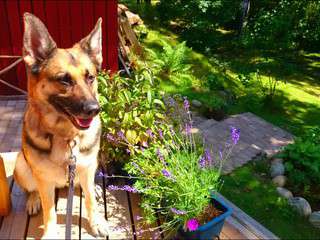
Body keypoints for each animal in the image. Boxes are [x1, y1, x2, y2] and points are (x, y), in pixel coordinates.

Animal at [13, 13, 109, 238]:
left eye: (90, 77)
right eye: (64, 80)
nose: (94, 109)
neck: (66, 137)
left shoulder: (86, 167)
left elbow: (90, 201)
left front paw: (96, 222)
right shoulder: (44, 181)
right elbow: (50, 212)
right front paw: (49, 233)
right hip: (21, 166)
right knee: (32, 189)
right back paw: (33, 200)